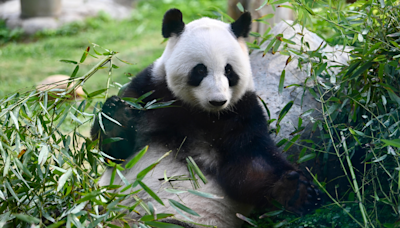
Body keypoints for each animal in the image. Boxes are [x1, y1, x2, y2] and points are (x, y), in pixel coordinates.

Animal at [92, 8, 324, 228]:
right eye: (200, 70)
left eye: (229, 70)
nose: (218, 100)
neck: (200, 112)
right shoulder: (149, 92)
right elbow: (114, 152)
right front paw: (115, 113)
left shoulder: (241, 114)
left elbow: (250, 165)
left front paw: (297, 192)